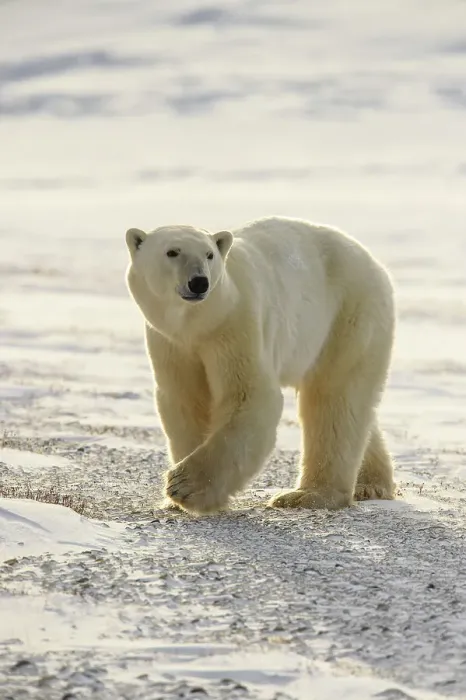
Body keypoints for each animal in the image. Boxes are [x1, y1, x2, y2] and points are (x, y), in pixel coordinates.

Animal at [125, 216, 396, 514]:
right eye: (172, 252)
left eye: (209, 254)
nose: (199, 282)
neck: (199, 323)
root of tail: (375, 264)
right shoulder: (170, 342)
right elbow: (186, 400)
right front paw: (178, 499)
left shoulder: (237, 325)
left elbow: (250, 396)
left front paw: (184, 486)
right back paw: (370, 484)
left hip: (348, 315)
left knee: (334, 399)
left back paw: (307, 495)